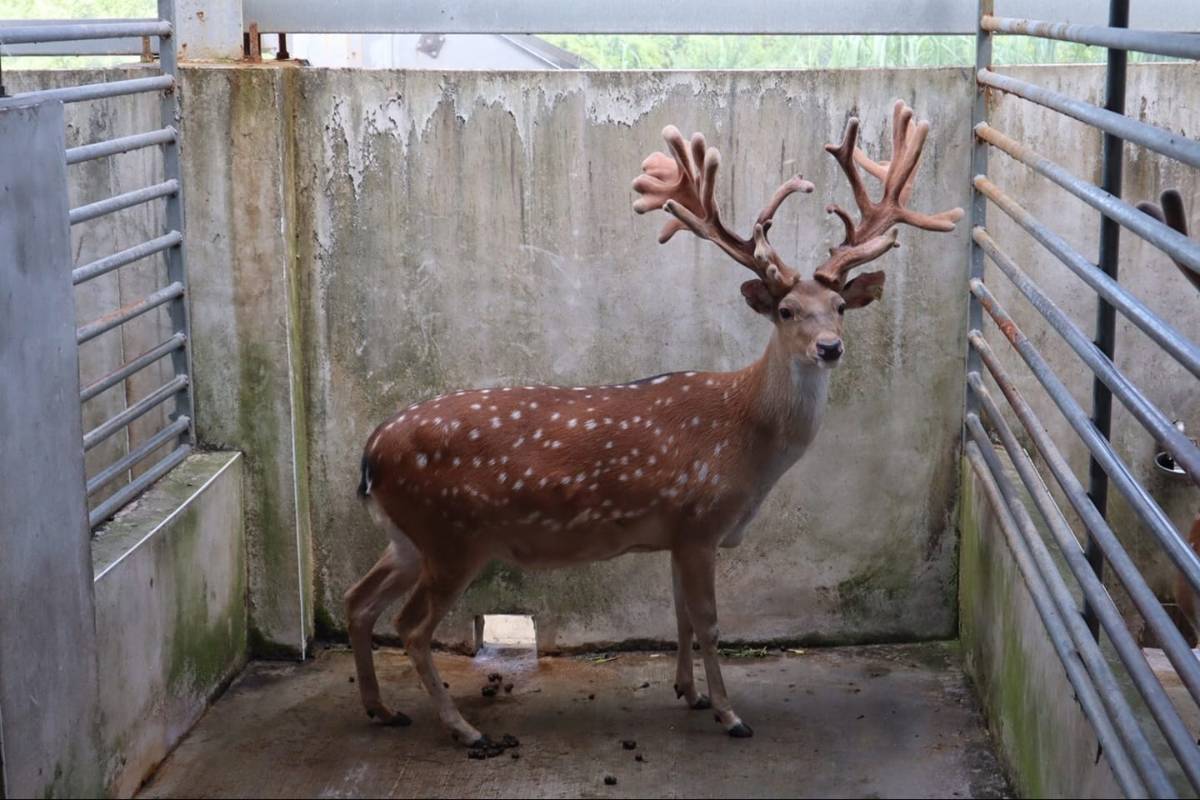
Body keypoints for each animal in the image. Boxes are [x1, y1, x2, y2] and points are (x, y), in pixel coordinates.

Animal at [345, 100, 963, 748]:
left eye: (841, 307)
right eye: (787, 310)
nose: (829, 347)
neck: (749, 441)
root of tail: (370, 454)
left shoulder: (674, 529)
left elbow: (680, 616)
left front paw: (688, 692)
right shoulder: (701, 520)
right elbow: (710, 622)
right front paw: (730, 714)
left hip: (408, 536)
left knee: (357, 600)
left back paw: (382, 708)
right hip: (453, 534)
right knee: (411, 626)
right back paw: (464, 728)